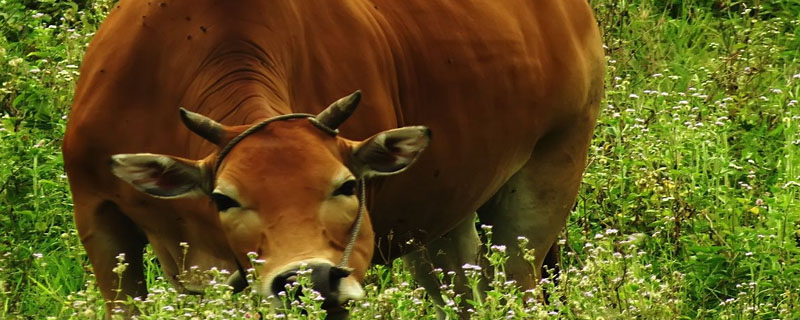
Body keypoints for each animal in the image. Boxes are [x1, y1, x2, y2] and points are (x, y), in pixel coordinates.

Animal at [62, 0, 604, 318]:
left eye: (346, 186)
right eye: (223, 198)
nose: (309, 276)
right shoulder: (98, 216)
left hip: (550, 173)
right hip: (443, 219)